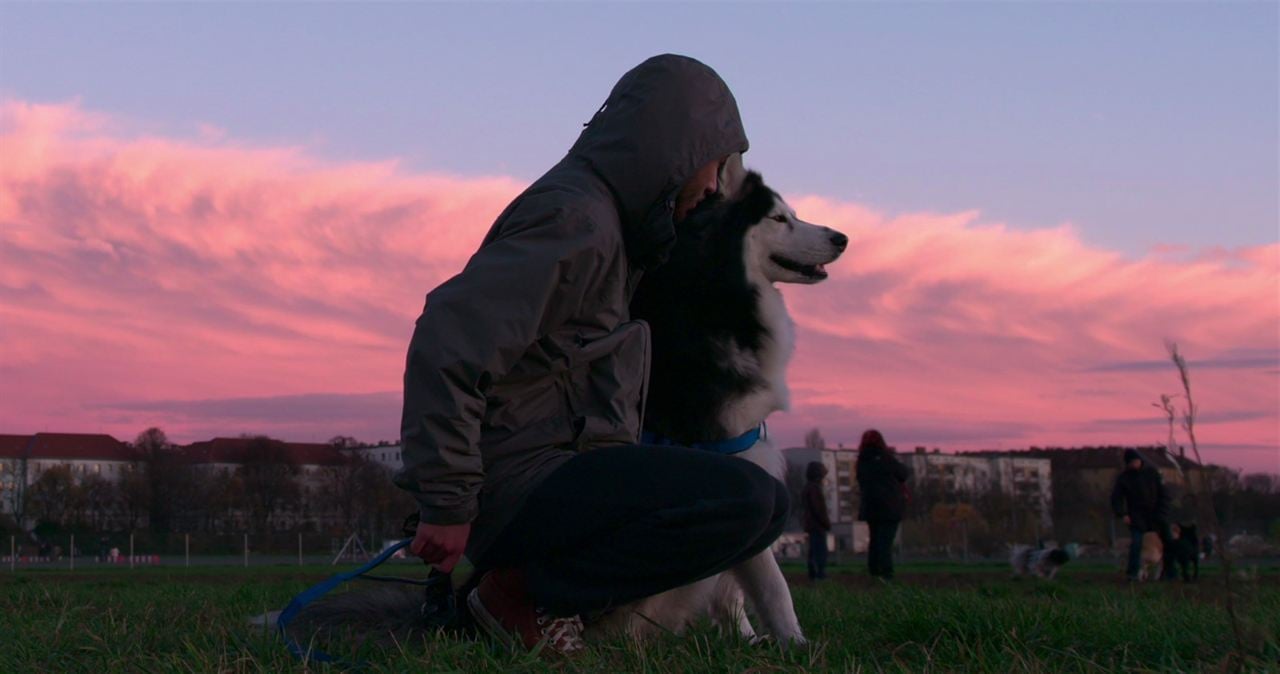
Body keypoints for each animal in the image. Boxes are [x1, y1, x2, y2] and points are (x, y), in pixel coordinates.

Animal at [586, 155, 849, 647]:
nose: (842, 238)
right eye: (779, 219)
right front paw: (796, 644)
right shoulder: (739, 459)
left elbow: (734, 590)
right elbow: (772, 583)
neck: (720, 289)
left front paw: (746, 638)